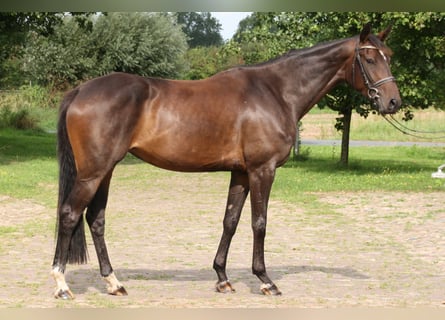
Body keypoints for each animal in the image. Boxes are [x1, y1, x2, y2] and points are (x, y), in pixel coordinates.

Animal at [51, 23, 398, 298]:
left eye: (390, 56)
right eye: (369, 59)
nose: (393, 101)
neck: (275, 91)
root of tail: (80, 90)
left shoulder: (241, 173)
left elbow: (230, 221)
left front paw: (222, 278)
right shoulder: (262, 170)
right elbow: (259, 223)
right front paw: (265, 280)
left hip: (105, 171)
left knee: (95, 219)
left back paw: (114, 283)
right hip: (92, 172)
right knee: (69, 214)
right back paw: (62, 285)